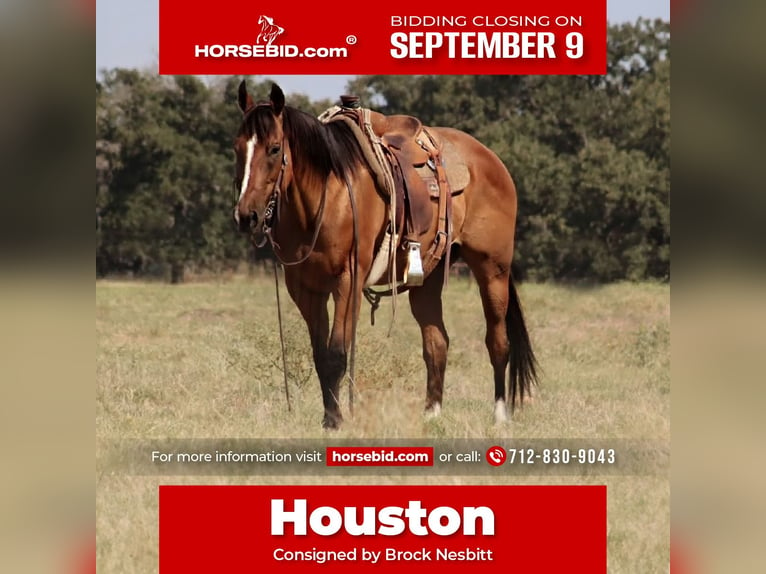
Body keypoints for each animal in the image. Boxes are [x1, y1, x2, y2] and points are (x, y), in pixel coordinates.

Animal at [234, 83, 540, 430]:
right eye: (237, 148)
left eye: (274, 149)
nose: (246, 215)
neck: (326, 194)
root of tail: (491, 160)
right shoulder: (305, 290)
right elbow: (320, 355)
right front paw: (329, 417)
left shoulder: (348, 282)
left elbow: (336, 354)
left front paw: (335, 421)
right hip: (428, 279)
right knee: (437, 343)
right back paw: (431, 414)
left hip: (492, 270)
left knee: (498, 342)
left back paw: (500, 414)